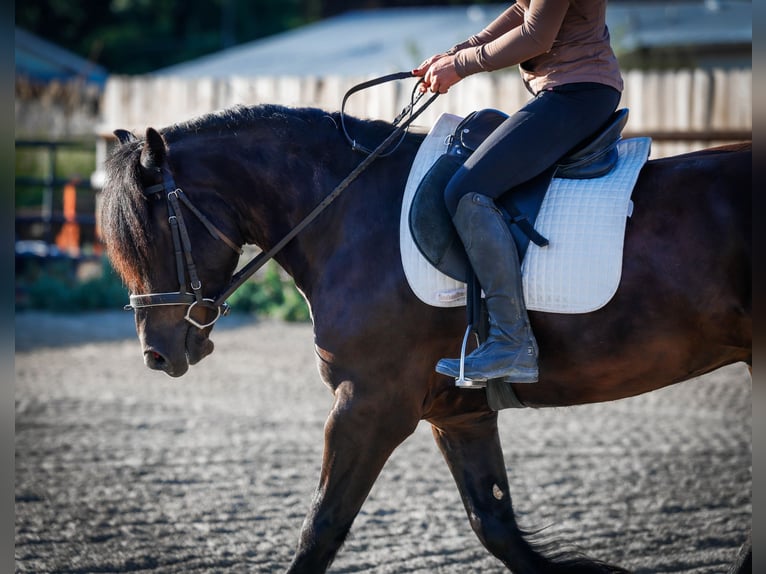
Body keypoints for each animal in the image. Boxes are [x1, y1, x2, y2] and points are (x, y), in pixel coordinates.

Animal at [99, 103, 751, 573]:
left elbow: (321, 529)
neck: (349, 214)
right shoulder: (459, 413)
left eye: (152, 233)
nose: (157, 354)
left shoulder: (370, 405)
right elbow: (496, 527)